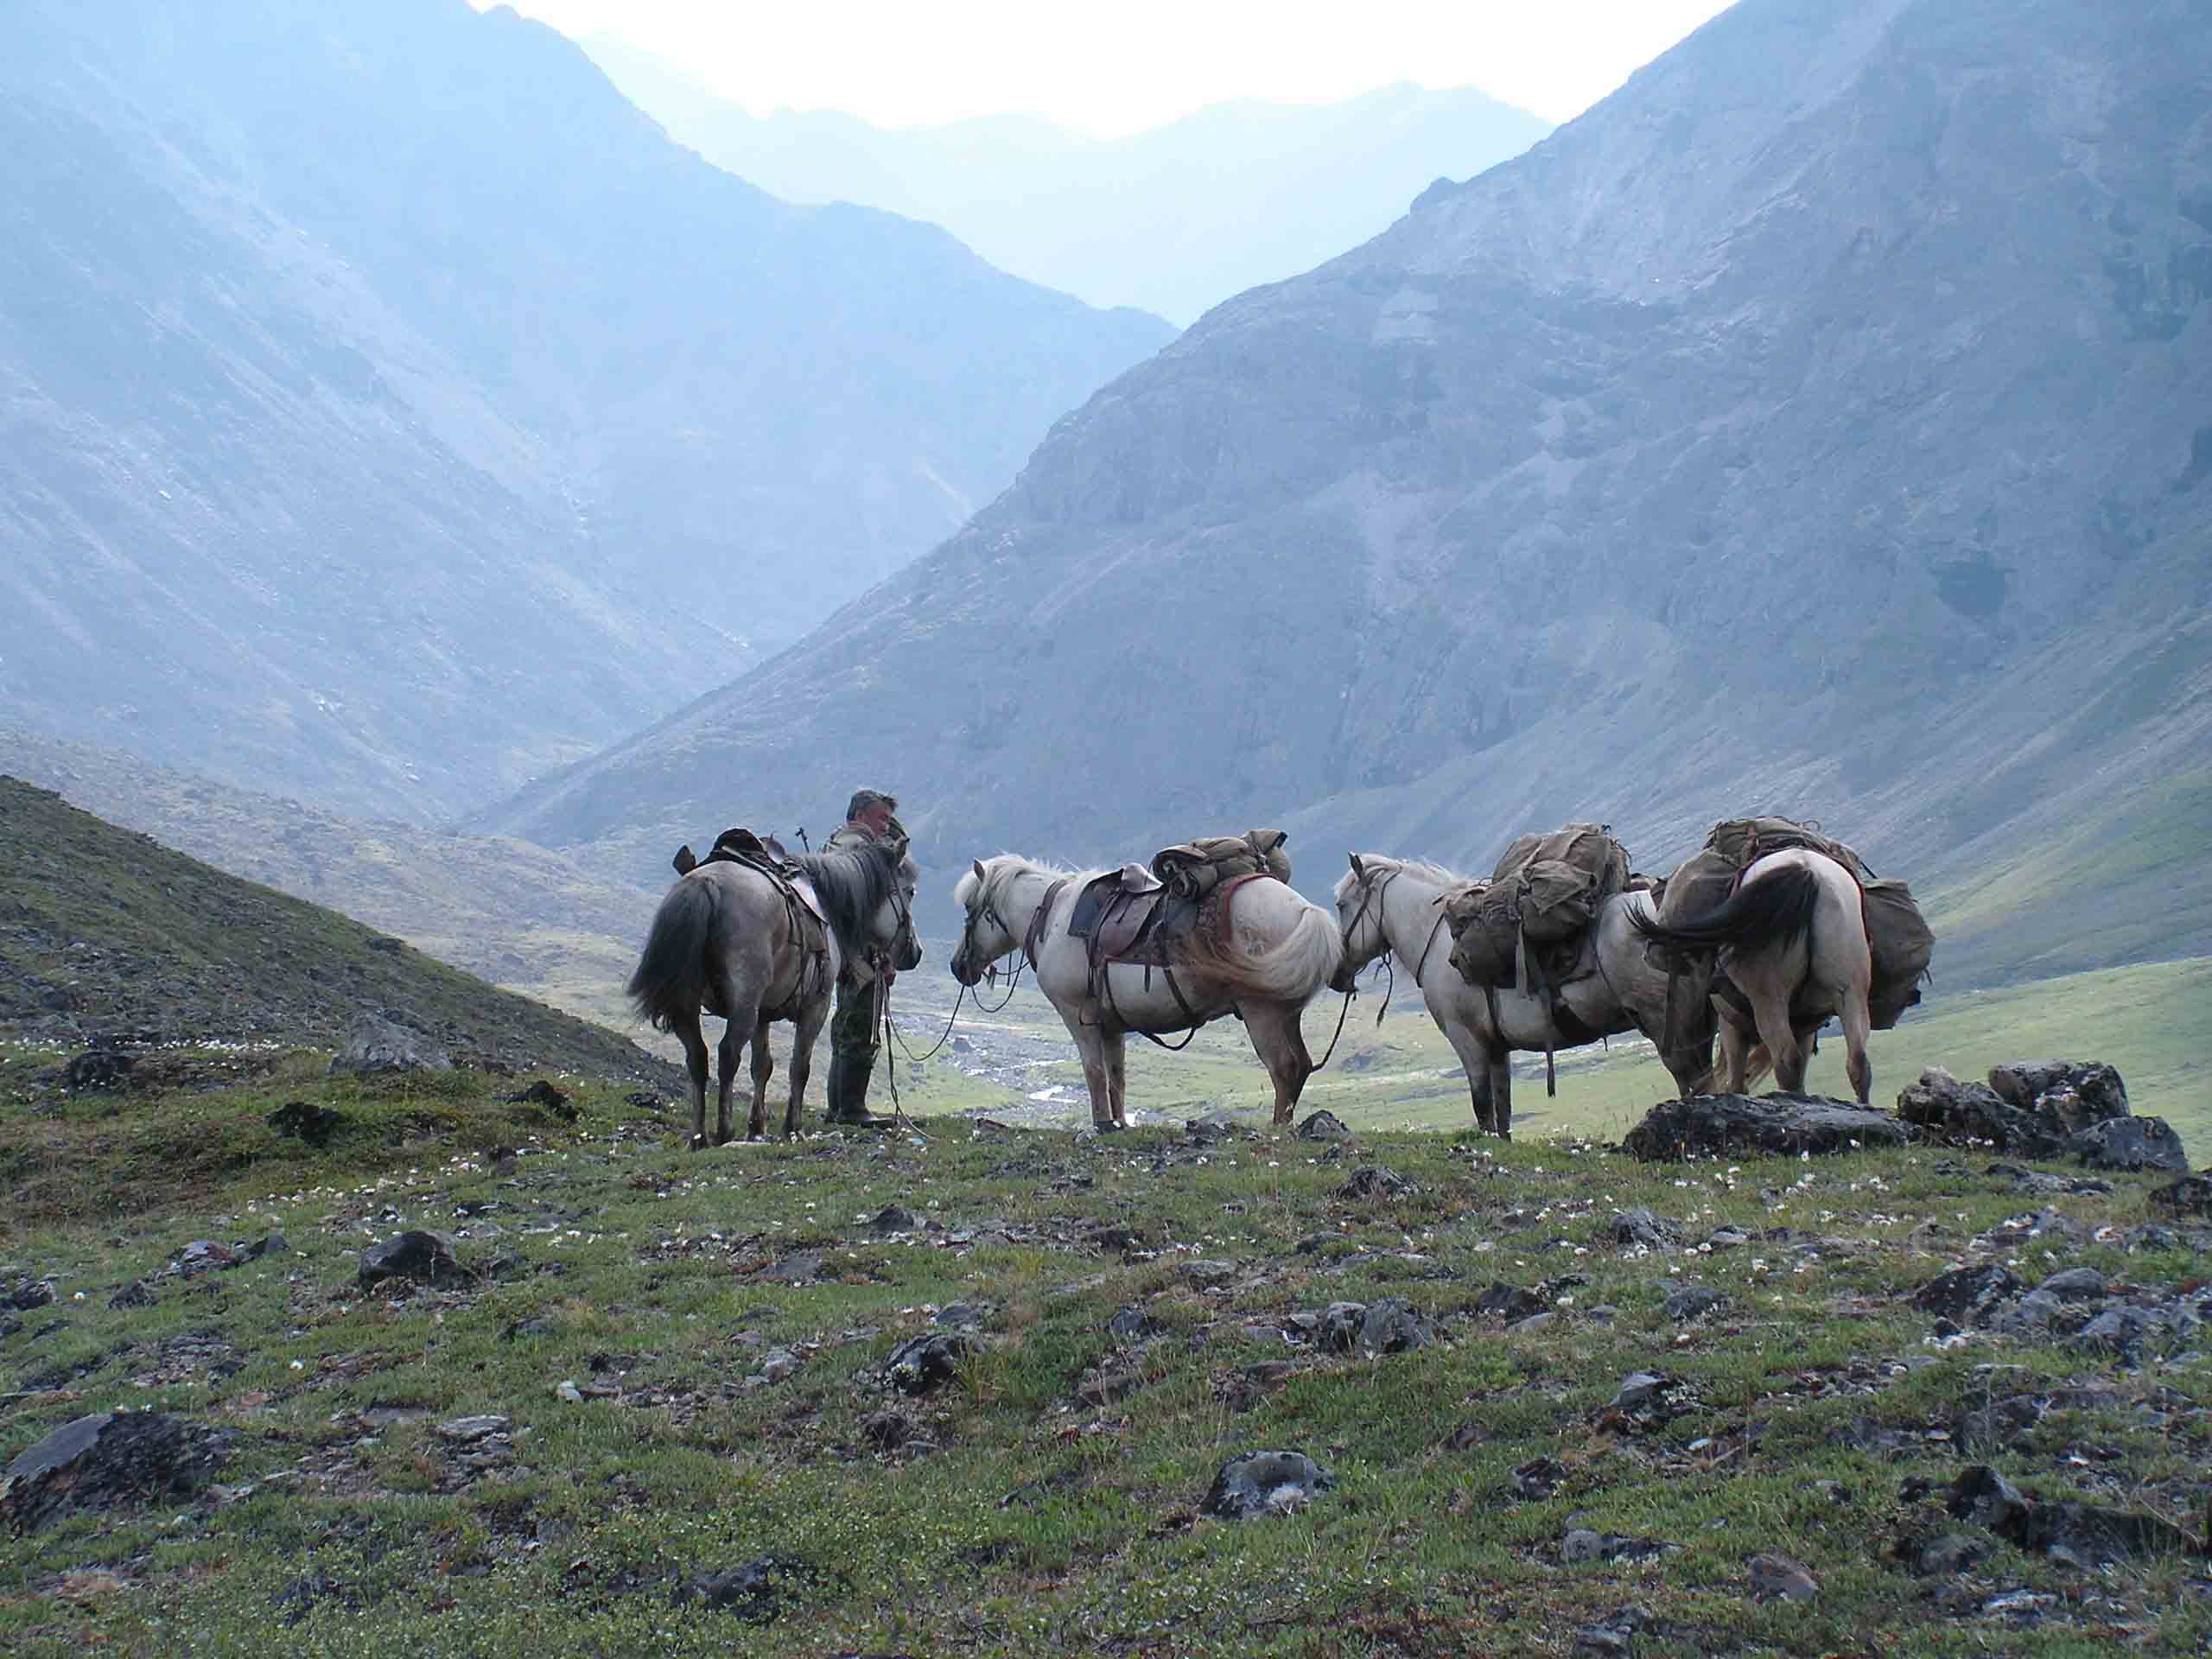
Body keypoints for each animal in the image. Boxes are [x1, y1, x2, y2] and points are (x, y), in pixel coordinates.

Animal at [628, 836, 919, 1150]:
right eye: (910, 891)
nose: (916, 951)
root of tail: (706, 883)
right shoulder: (815, 1008)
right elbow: (799, 1067)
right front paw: (793, 1129)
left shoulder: (763, 1015)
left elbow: (762, 1067)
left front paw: (756, 1128)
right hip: (744, 1004)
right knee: (728, 1054)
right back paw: (724, 1131)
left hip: (688, 1006)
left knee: (697, 1058)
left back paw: (698, 1137)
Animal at [946, 858, 1336, 1132]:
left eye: (969, 908)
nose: (957, 966)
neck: (1053, 918)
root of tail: (1304, 911)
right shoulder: (1111, 1025)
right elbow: (1116, 1076)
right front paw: (1119, 1123)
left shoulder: (1078, 1017)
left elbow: (1094, 1072)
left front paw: (1102, 1124)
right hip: (1287, 1013)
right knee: (1300, 1065)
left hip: (1261, 1013)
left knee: (1284, 1067)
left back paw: (1277, 1128)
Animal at [1318, 858, 1716, 1141]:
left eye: (1342, 904)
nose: (1336, 974)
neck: (1440, 940)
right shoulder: (1497, 1050)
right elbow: (1503, 1113)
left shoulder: (1469, 1043)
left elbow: (1482, 1109)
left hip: (1665, 1022)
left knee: (1691, 1080)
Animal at [1637, 849, 1875, 1110]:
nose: (1648, 953)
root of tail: (1806, 869)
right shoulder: (1805, 1028)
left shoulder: (1730, 1025)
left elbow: (1737, 1083)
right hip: (1850, 992)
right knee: (1858, 1062)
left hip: (1769, 999)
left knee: (1787, 1060)